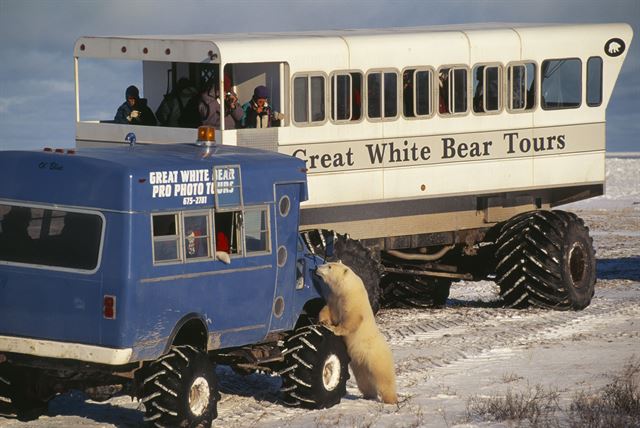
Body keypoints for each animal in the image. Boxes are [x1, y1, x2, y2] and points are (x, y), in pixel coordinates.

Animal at [314, 260, 396, 404]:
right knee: (364, 380)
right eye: (328, 263)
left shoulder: (352, 301)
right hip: (359, 363)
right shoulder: (335, 298)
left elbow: (352, 319)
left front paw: (335, 329)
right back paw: (368, 395)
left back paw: (391, 399)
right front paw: (323, 322)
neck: (348, 288)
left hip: (376, 356)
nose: (317, 267)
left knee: (383, 376)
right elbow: (327, 310)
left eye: (329, 266)